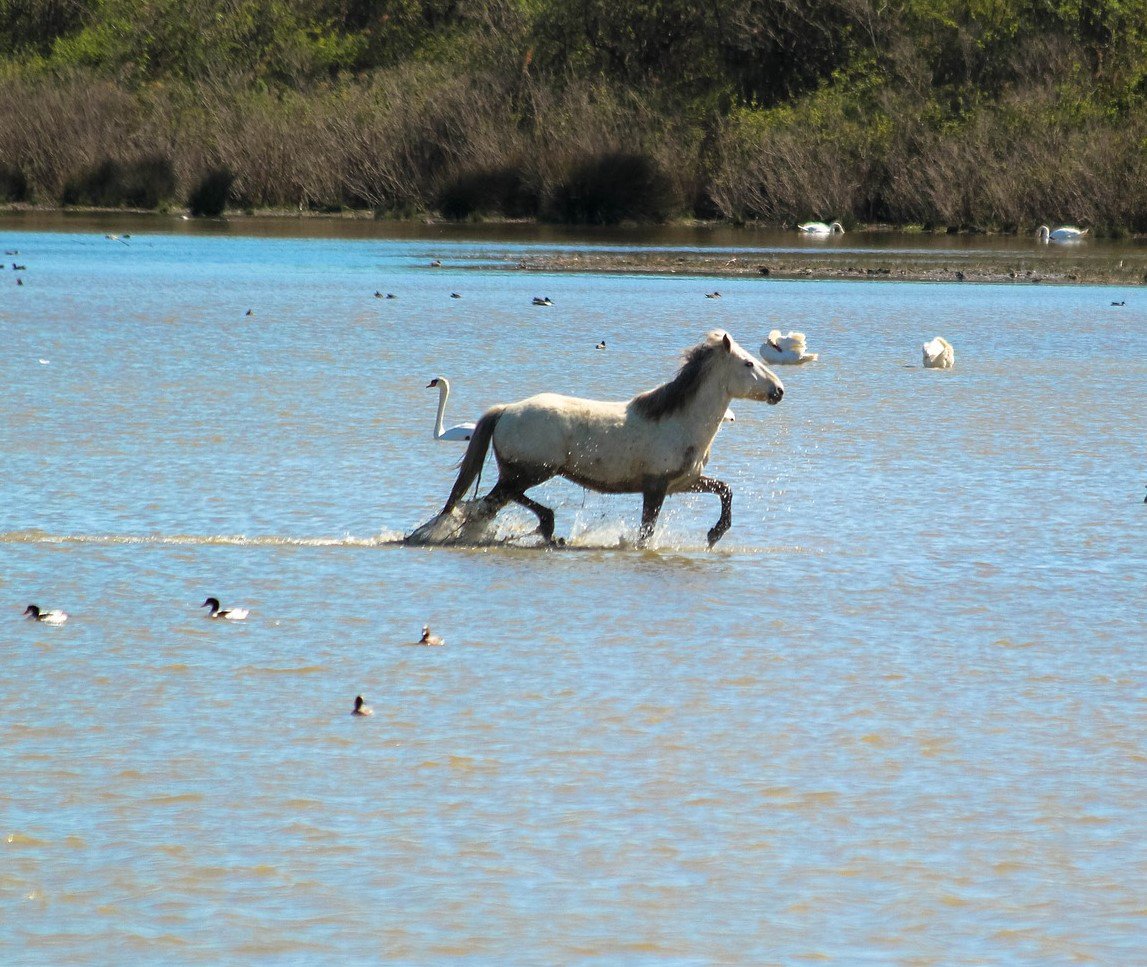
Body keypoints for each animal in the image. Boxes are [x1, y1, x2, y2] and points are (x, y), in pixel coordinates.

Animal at [423, 331, 784, 548]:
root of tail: (506, 410)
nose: (778, 391)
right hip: (531, 471)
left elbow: (725, 489)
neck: (679, 420)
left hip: (523, 472)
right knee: (489, 503)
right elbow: (646, 531)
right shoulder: (655, 486)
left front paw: (714, 534)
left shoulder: (683, 482)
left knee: (495, 503)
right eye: (748, 363)